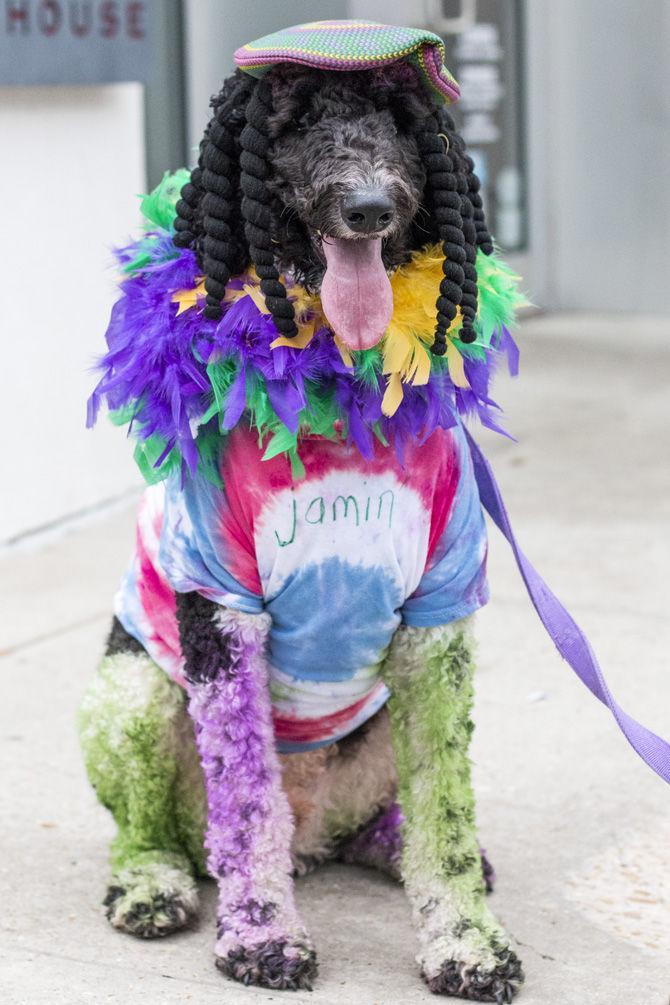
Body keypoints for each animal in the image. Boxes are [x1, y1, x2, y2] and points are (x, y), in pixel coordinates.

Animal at [79, 27, 522, 1000]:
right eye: (297, 122)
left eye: (403, 121)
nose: (368, 206)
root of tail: (313, 832)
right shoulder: (221, 614)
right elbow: (246, 802)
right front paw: (261, 935)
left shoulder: (438, 627)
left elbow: (447, 801)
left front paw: (466, 938)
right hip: (129, 693)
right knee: (163, 829)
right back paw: (153, 883)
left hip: (389, 711)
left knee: (404, 812)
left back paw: (402, 847)